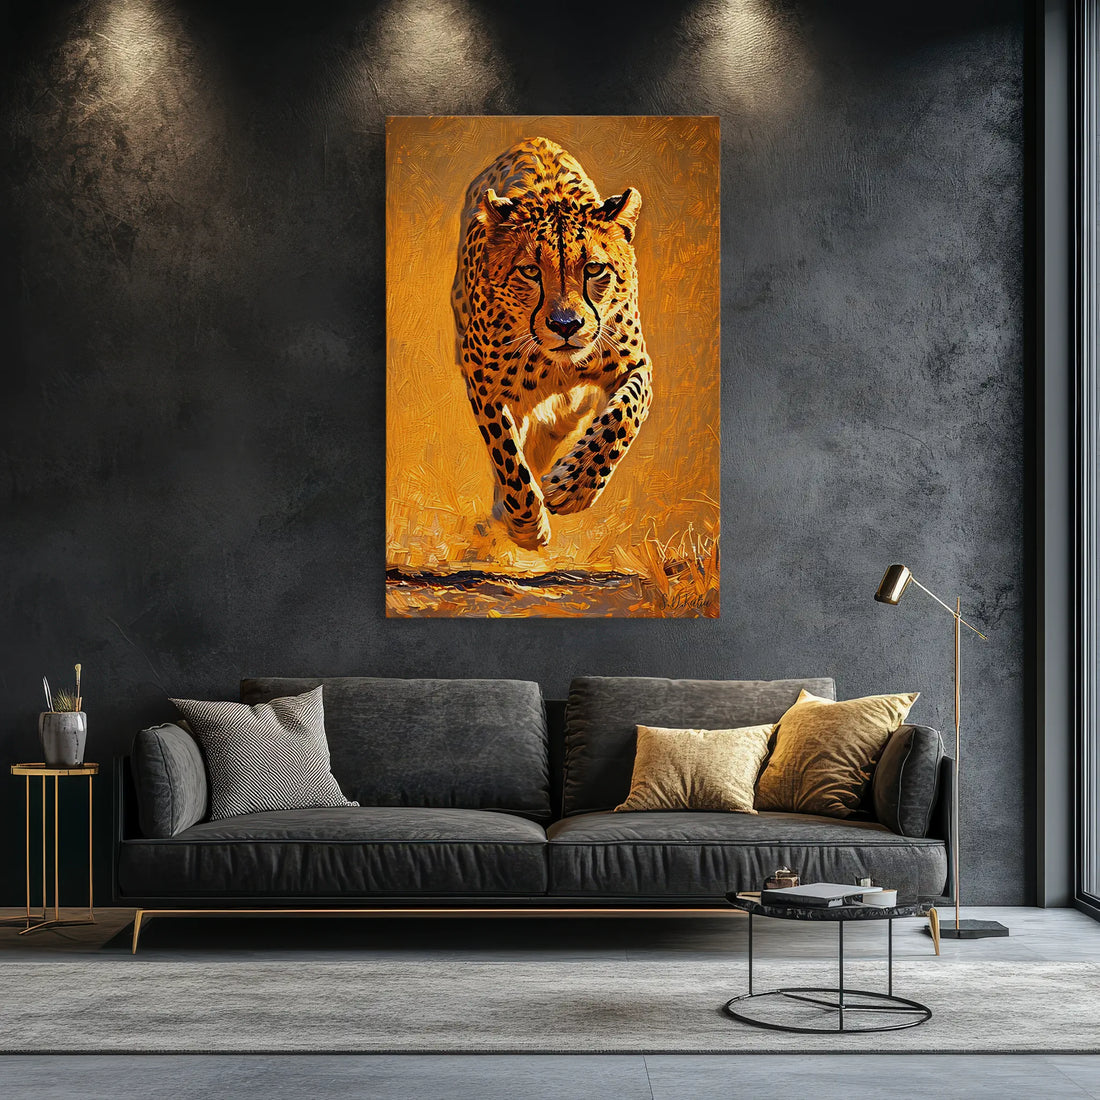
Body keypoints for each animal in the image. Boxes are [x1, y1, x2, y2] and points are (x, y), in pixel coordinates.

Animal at [451, 136, 653, 550]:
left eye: (594, 269)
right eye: (530, 271)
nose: (565, 325)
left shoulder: (636, 364)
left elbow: (623, 417)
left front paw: (571, 487)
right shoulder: (483, 386)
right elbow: (507, 457)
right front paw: (527, 525)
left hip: (567, 415)